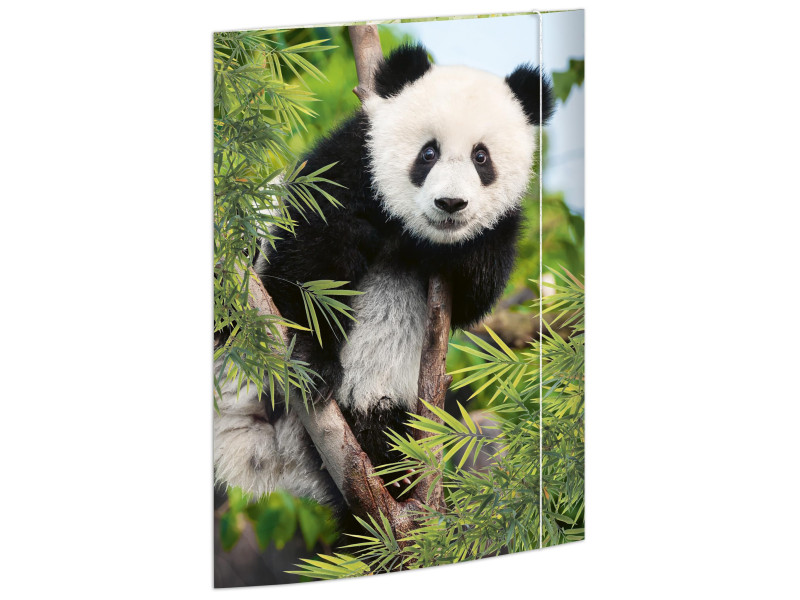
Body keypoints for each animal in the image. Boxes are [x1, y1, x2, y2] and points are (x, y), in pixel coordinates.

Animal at [213, 44, 554, 511]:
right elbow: (308, 260)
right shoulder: (350, 161)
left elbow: (476, 294)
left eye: (481, 157)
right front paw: (314, 360)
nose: (450, 204)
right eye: (428, 153)